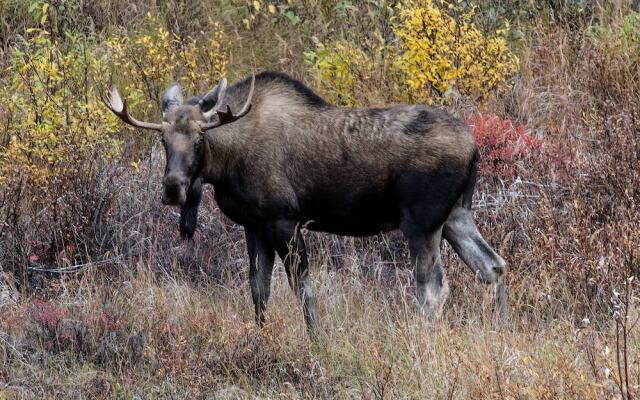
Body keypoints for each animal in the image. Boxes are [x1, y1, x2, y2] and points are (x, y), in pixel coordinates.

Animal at [104, 72, 504, 332]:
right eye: (163, 140)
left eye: (200, 138)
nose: (173, 188)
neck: (227, 162)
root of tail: (474, 148)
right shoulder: (254, 226)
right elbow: (258, 289)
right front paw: (261, 337)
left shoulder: (285, 220)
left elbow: (303, 290)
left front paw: (316, 340)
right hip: (456, 217)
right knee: (492, 266)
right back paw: (498, 331)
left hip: (421, 224)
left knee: (433, 288)